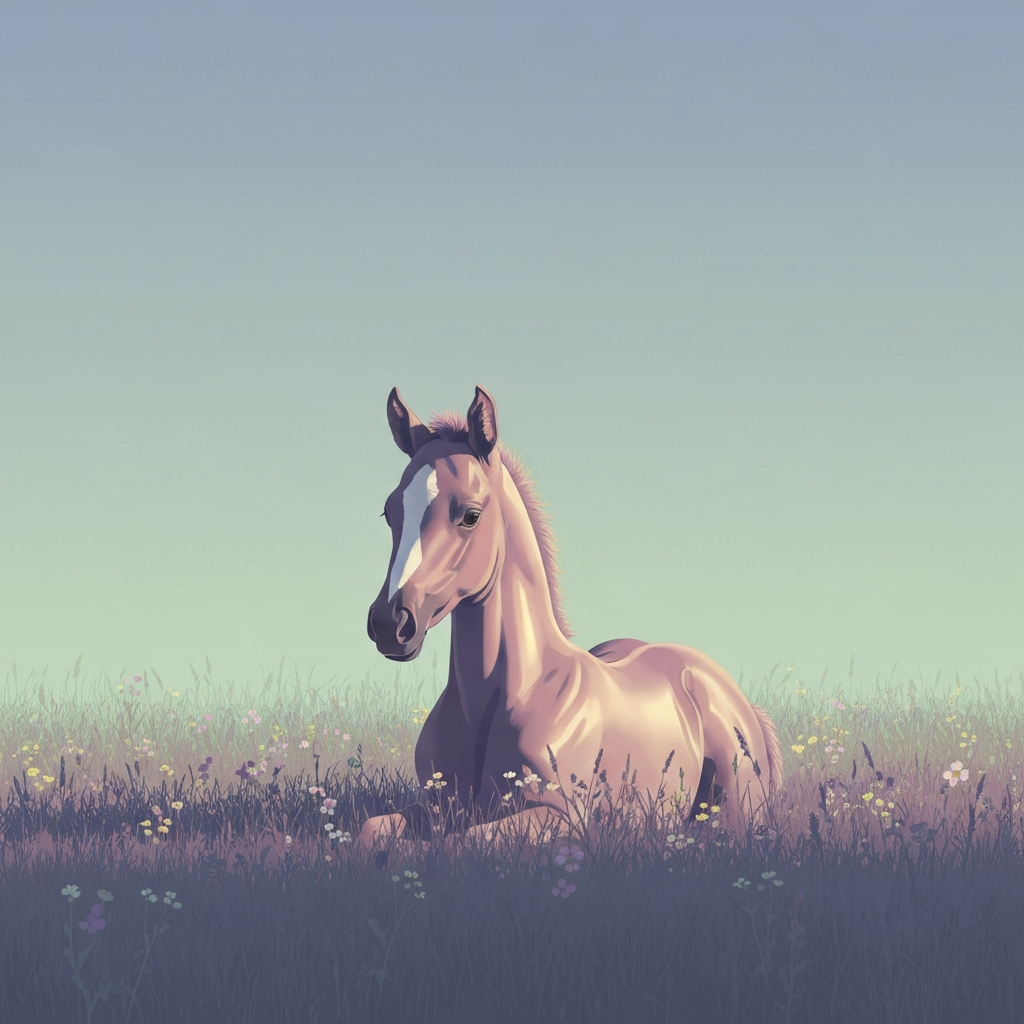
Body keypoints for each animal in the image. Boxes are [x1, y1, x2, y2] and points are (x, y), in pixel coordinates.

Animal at [361, 385, 782, 853]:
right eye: (389, 512)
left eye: (470, 515)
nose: (390, 623)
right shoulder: (434, 808)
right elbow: (371, 831)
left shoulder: (562, 819)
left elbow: (459, 843)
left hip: (733, 811)